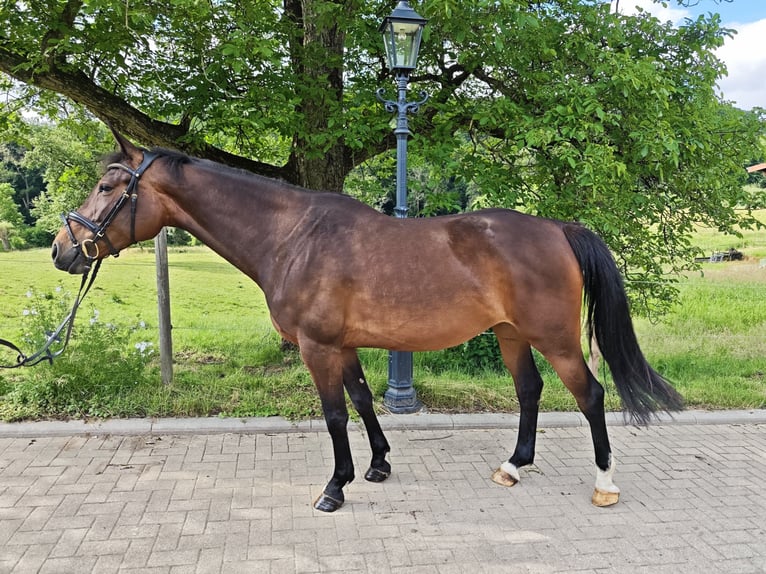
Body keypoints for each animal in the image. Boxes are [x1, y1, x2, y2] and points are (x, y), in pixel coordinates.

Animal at [51, 129, 683, 512]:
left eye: (107, 186)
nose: (63, 249)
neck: (294, 237)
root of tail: (557, 228)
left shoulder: (317, 346)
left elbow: (334, 414)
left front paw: (336, 486)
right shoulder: (344, 345)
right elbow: (361, 401)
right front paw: (378, 466)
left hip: (555, 339)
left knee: (591, 395)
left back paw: (604, 484)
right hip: (510, 335)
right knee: (529, 390)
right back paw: (512, 466)